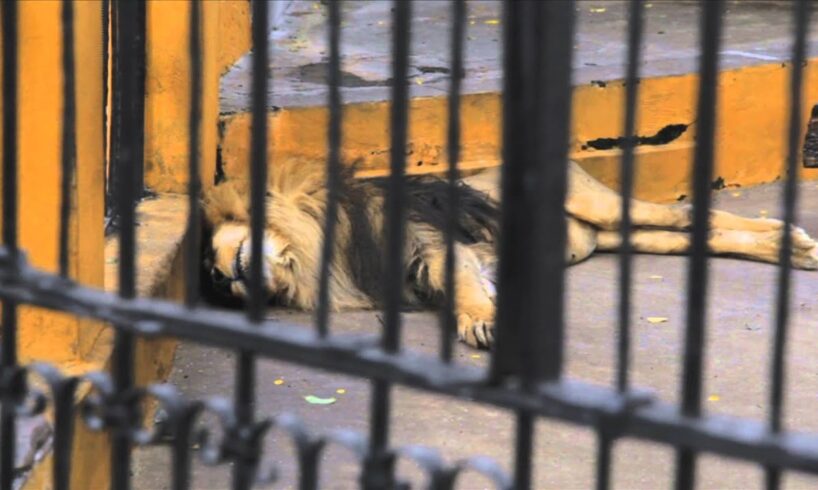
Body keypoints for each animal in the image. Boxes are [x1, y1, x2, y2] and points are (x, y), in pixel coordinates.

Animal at [202, 161, 816, 348]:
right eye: (217, 280)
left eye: (219, 263)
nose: (220, 282)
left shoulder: (433, 245)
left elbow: (467, 289)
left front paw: (483, 322)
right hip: (618, 236)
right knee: (697, 235)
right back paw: (786, 246)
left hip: (600, 206)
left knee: (694, 217)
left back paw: (796, 241)